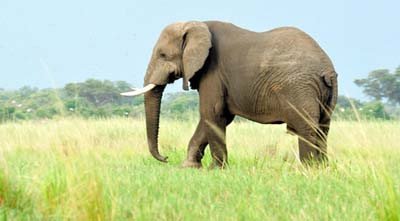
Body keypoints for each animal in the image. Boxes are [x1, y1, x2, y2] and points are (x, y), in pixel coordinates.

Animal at [121, 20, 338, 168]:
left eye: (163, 55)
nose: (165, 158)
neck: (198, 24)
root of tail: (326, 69)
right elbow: (216, 118)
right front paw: (188, 167)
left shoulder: (213, 71)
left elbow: (211, 114)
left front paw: (215, 169)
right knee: (323, 128)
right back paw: (322, 168)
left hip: (299, 88)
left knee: (306, 128)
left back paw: (307, 169)